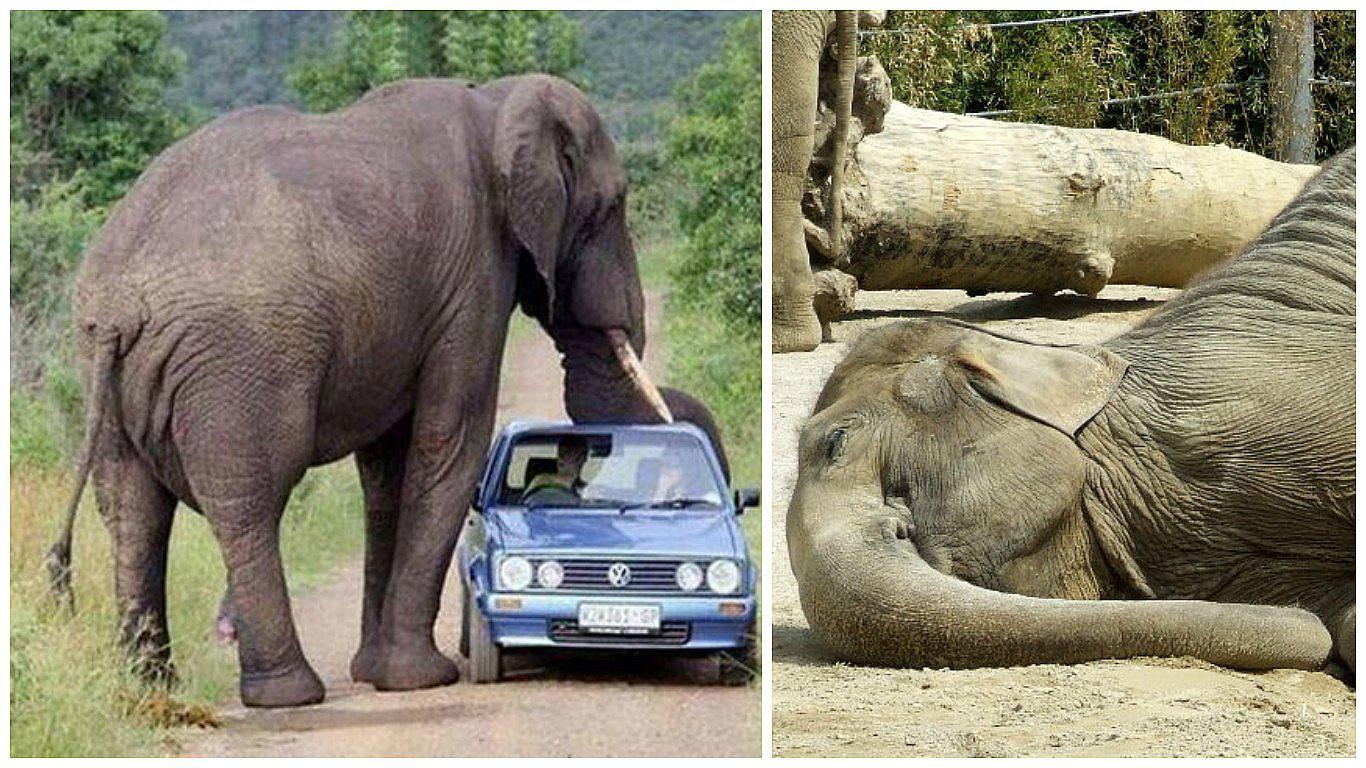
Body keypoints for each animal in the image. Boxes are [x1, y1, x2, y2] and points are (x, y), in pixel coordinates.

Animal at [46, 75, 726, 708]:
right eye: (612, 206)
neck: (497, 103)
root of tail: (117, 303)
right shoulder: (472, 279)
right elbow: (450, 442)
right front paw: (421, 679)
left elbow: (387, 470)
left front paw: (376, 673)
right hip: (239, 362)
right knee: (250, 501)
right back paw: (288, 695)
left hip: (105, 369)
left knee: (133, 509)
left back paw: (150, 689)